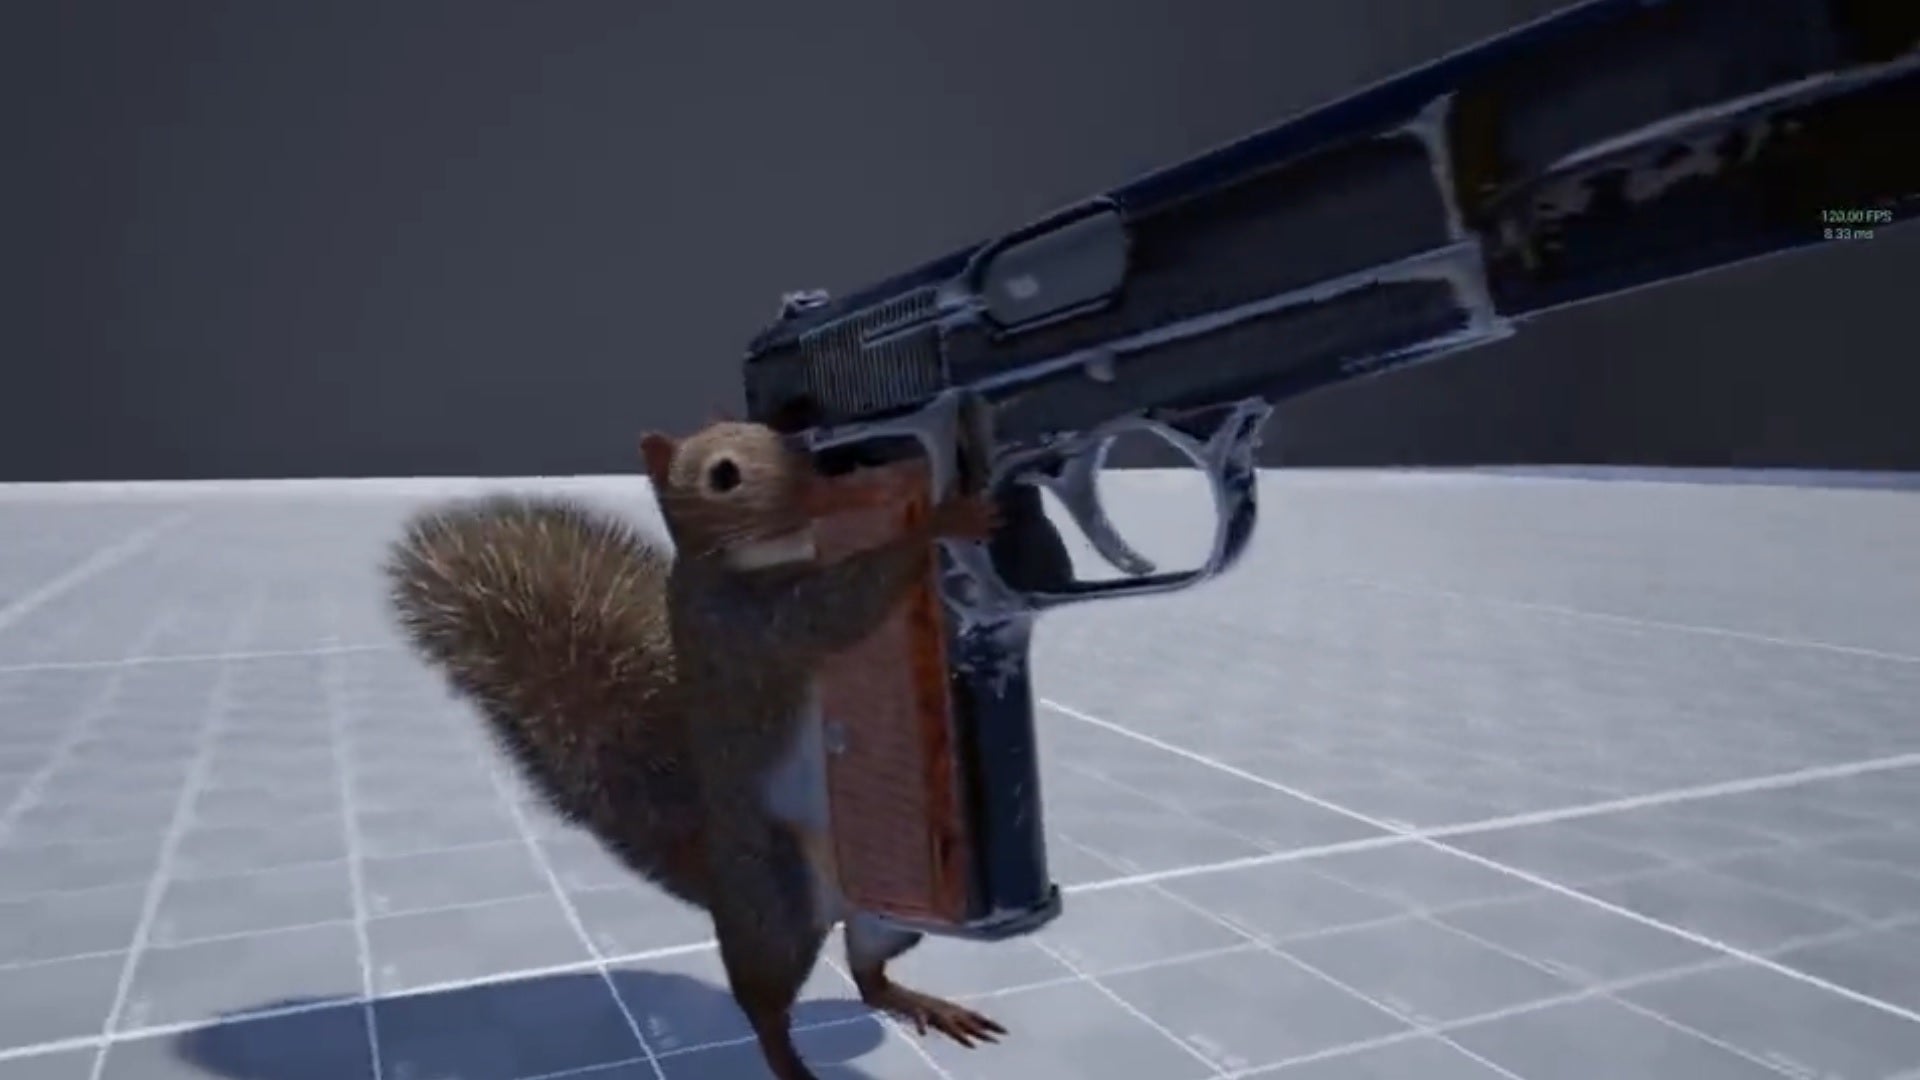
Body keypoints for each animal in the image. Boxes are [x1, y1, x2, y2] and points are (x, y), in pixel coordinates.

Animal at [385, 421, 1007, 1080]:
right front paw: (942, 519)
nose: (814, 484)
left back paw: (918, 1001)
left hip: (883, 916)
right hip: (771, 905)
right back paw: (790, 1065)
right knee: (763, 1002)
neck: (761, 555)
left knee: (868, 971)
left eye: (787, 437)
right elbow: (842, 606)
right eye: (723, 474)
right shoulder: (748, 624)